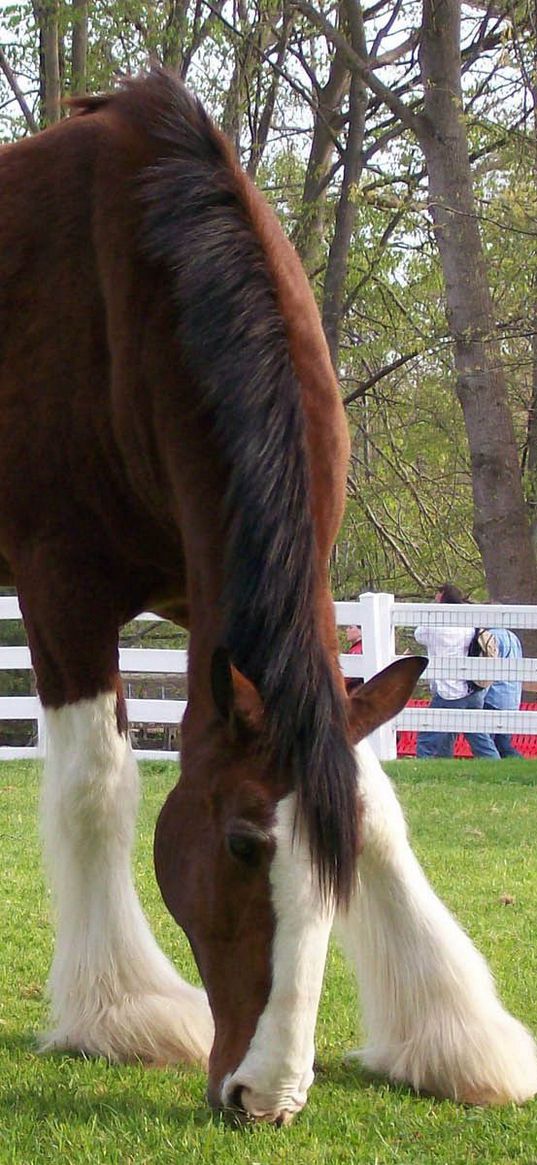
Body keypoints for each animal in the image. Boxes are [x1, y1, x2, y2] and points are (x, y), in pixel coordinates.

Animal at [1, 68, 535, 1123]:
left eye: (338, 868)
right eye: (245, 845)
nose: (266, 1096)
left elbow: (371, 792)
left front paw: (454, 1034)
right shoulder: (63, 592)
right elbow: (96, 788)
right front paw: (121, 1010)